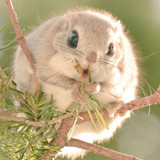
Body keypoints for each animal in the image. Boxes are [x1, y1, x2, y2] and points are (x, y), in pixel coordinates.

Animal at [13, 8, 139, 159]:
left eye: (111, 48)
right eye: (73, 38)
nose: (91, 59)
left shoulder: (125, 78)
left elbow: (110, 87)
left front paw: (97, 88)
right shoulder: (45, 64)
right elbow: (57, 80)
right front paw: (78, 90)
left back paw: (116, 108)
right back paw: (32, 78)